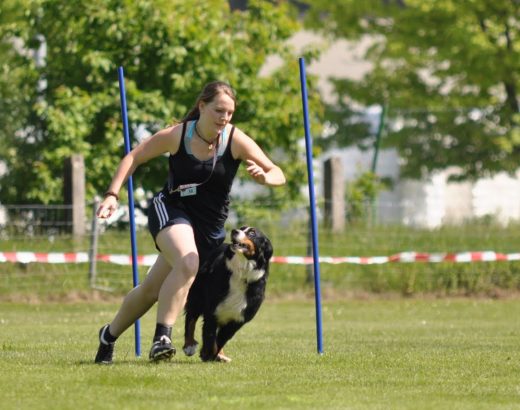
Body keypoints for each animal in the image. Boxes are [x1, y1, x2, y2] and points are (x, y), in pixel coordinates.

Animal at [182, 226, 272, 364]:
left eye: (252, 233)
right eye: (241, 228)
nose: (234, 230)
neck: (241, 275)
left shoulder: (238, 320)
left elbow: (221, 339)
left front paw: (212, 355)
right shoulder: (213, 311)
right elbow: (210, 335)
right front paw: (207, 354)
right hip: (197, 296)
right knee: (190, 318)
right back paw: (189, 345)